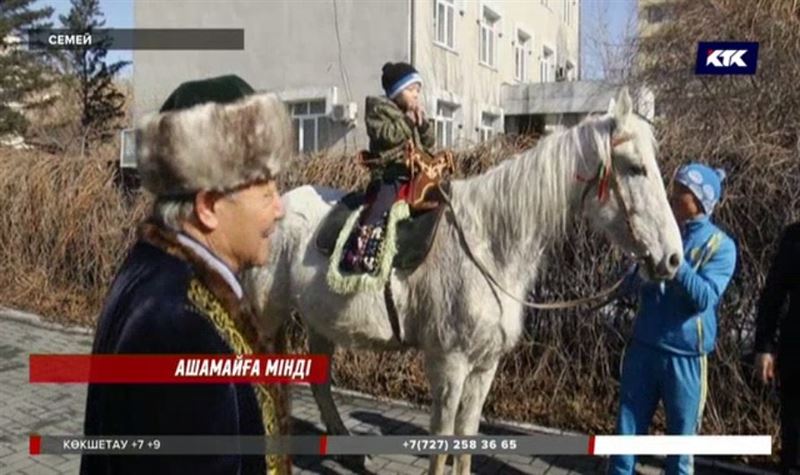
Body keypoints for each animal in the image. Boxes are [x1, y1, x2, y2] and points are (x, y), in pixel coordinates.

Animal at [244, 89, 680, 475]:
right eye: (635, 167)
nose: (672, 258)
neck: (488, 244)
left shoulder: (485, 366)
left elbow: (467, 436)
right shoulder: (448, 363)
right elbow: (442, 440)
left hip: (319, 320)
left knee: (319, 384)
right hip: (268, 314)